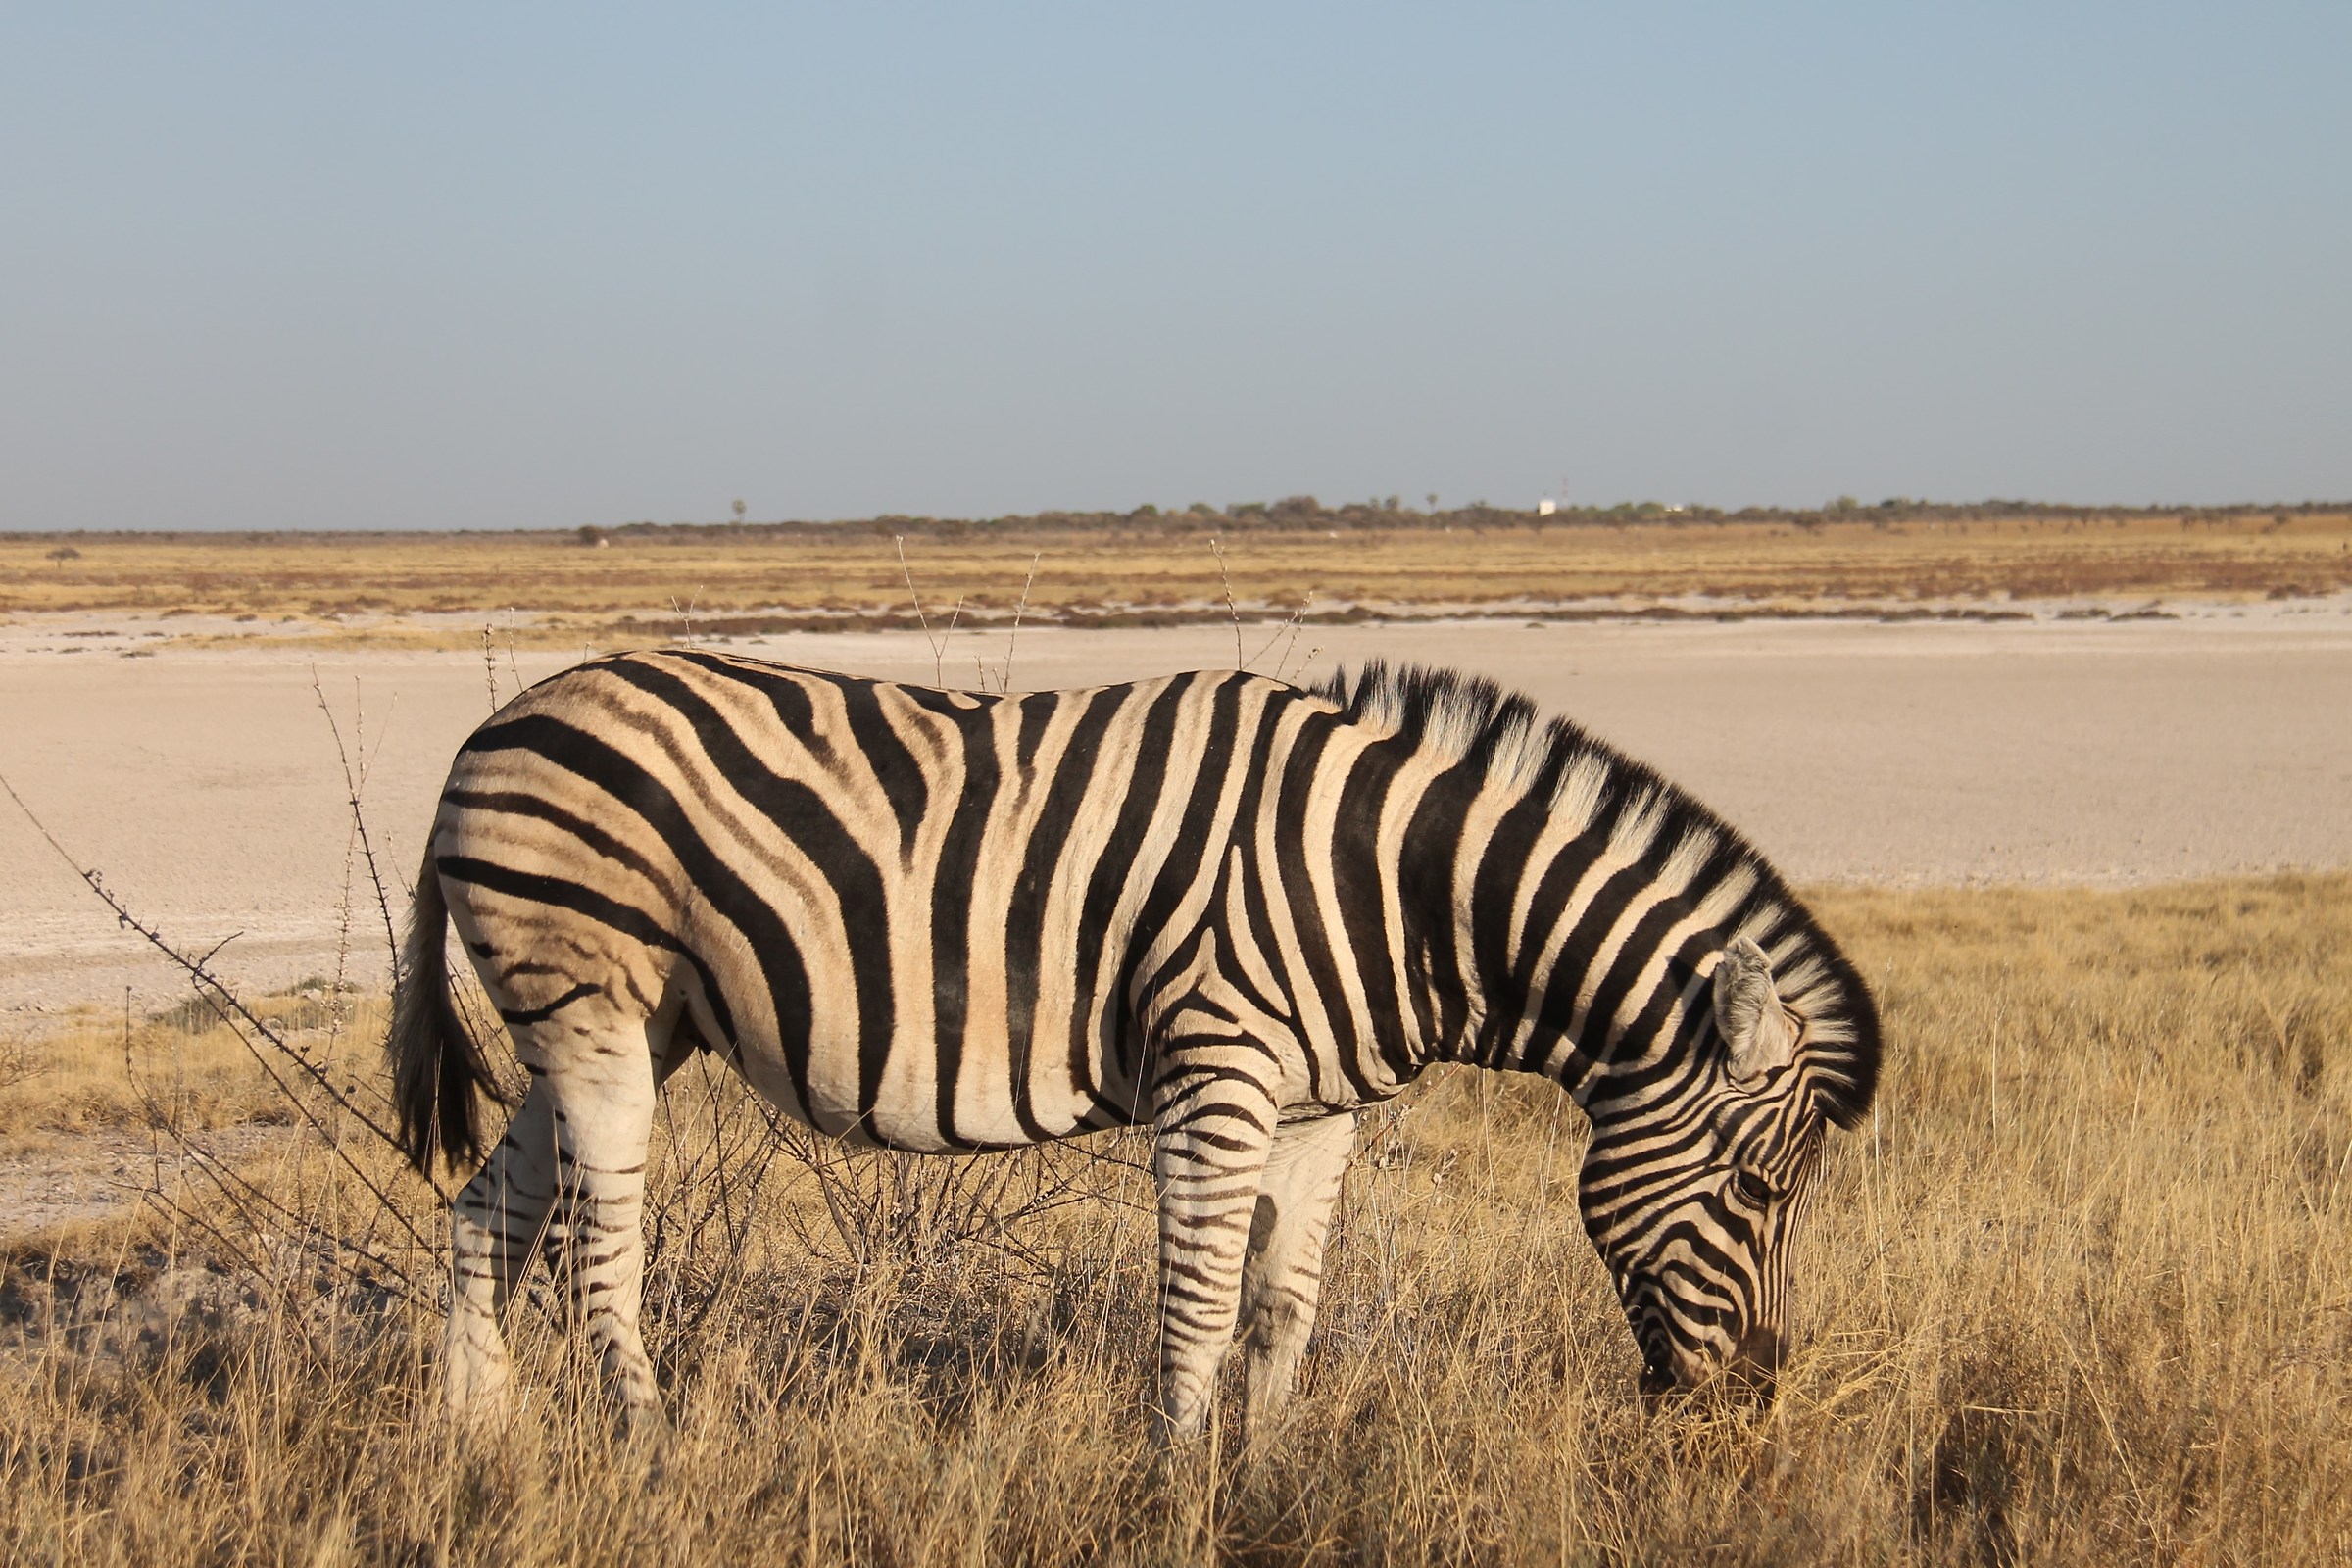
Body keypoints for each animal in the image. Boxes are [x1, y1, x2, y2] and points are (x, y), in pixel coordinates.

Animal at [388, 650, 1879, 1439]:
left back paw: (479, 1449)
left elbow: (1284, 1303)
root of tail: (489, 727)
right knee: (600, 1252)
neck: (1398, 891)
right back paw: (649, 1449)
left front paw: (1263, 1474)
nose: (1758, 1396)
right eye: (1760, 1191)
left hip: (621, 1029)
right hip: (592, 1010)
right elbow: (1202, 1297)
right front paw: (1175, 1476)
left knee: (483, 1217)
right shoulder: (1218, 1070)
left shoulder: (1320, 1106)